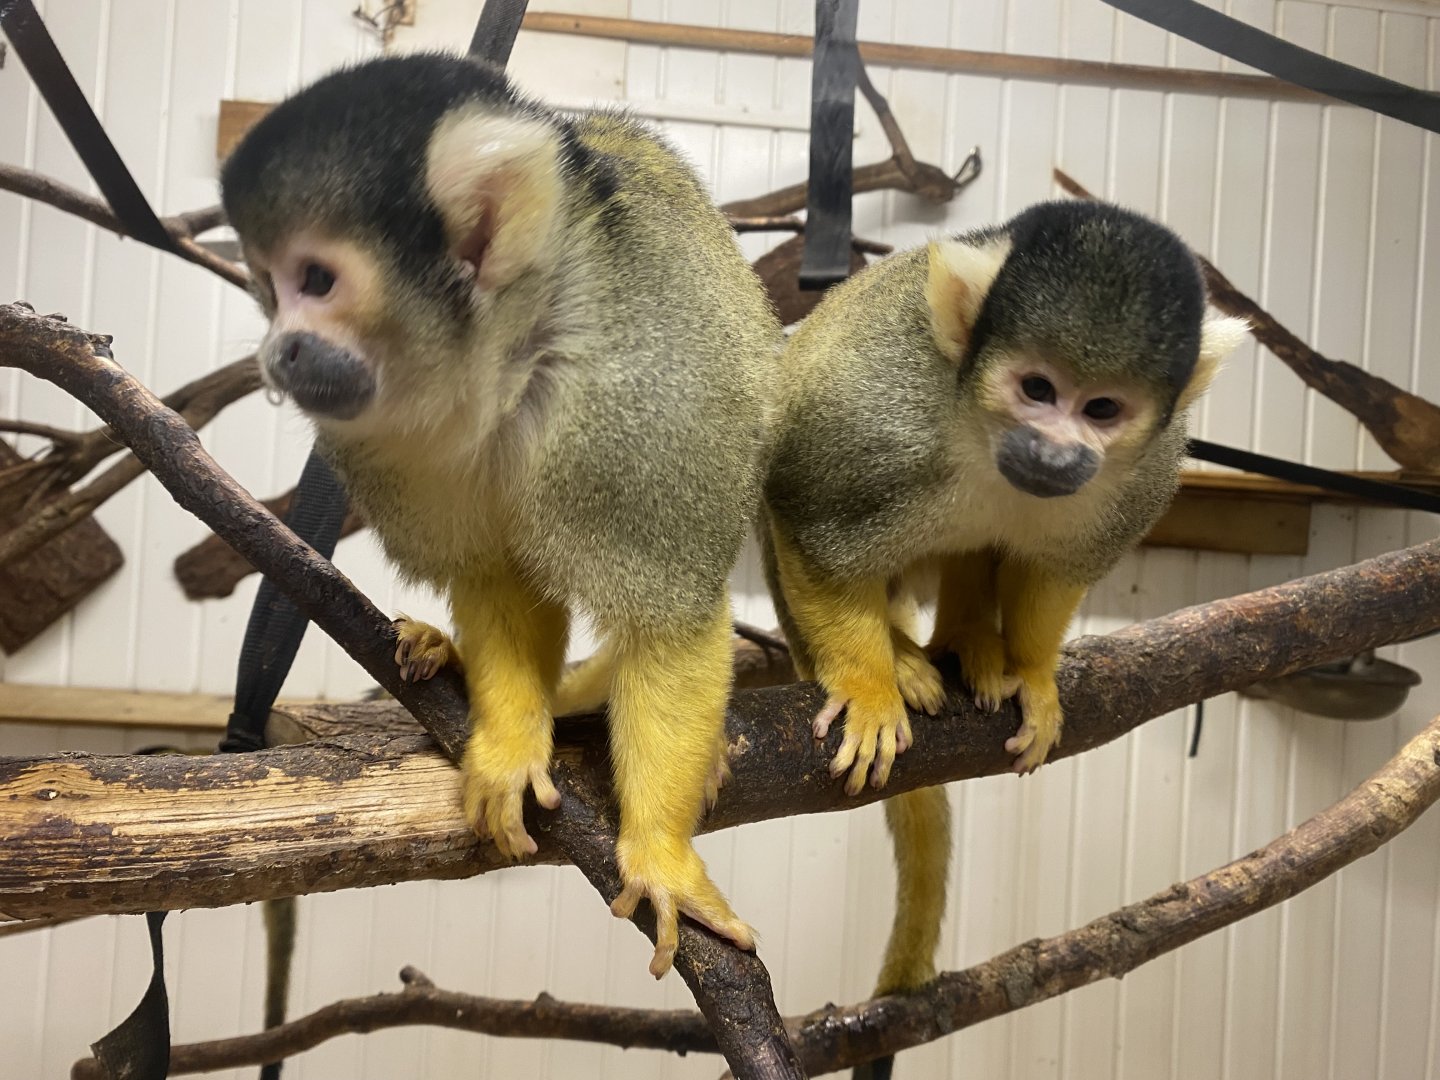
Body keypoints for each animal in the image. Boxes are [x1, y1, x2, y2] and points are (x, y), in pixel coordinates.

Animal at [220, 53, 782, 978]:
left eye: (317, 281)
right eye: (267, 287)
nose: (279, 351)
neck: (511, 367)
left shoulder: (638, 404)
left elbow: (670, 616)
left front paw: (660, 854)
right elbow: (497, 580)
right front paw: (514, 745)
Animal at [758, 200, 1247, 1053]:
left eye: (1102, 409)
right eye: (1037, 388)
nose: (1053, 453)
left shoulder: (1143, 471)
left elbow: (1056, 570)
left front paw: (1032, 674)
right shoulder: (874, 414)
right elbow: (810, 518)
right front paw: (868, 687)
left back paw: (972, 648)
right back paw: (899, 659)